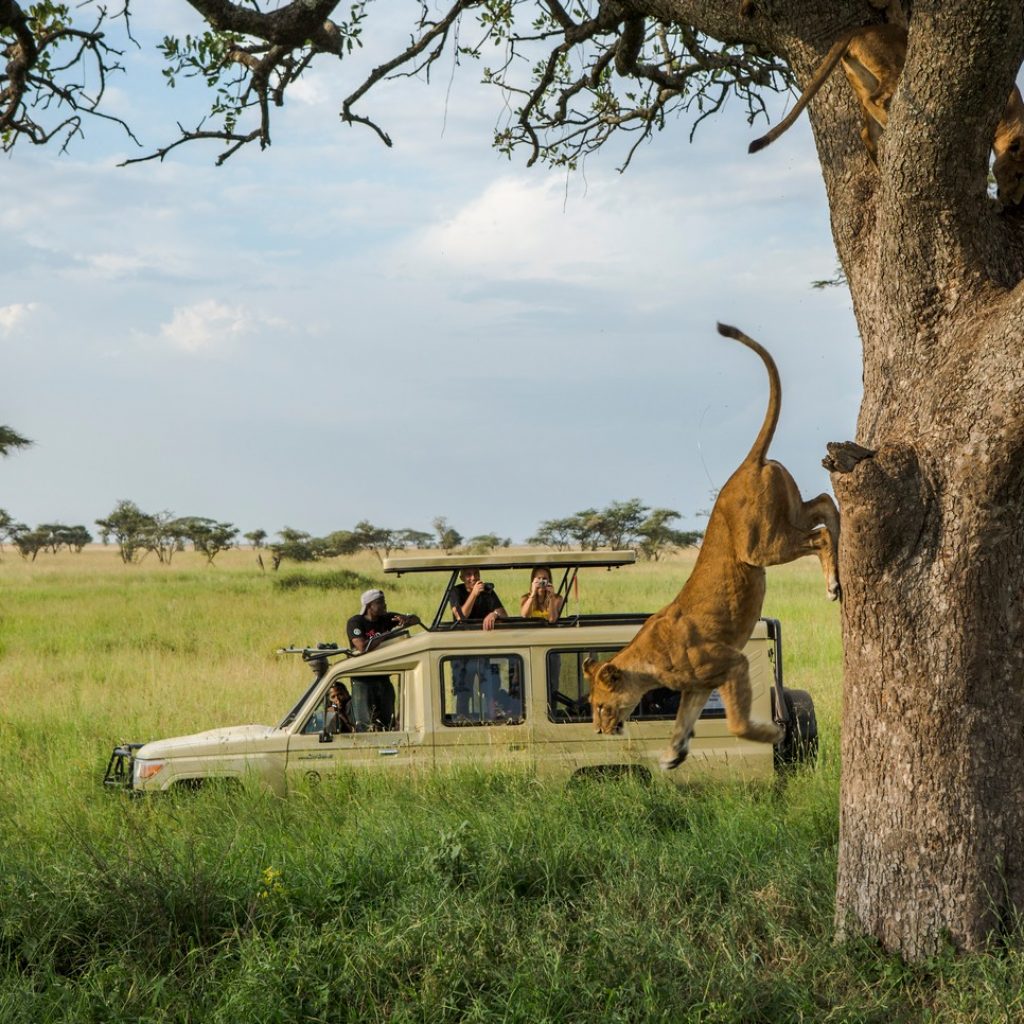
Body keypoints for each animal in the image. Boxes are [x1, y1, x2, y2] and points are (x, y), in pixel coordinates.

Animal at [583, 323, 840, 771]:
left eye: (600, 705)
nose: (599, 730)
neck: (647, 661)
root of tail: (746, 464)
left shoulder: (729, 661)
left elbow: (737, 722)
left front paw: (773, 734)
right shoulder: (698, 686)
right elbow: (683, 721)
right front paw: (673, 755)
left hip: (760, 546)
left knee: (820, 535)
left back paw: (833, 585)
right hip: (787, 509)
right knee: (825, 503)